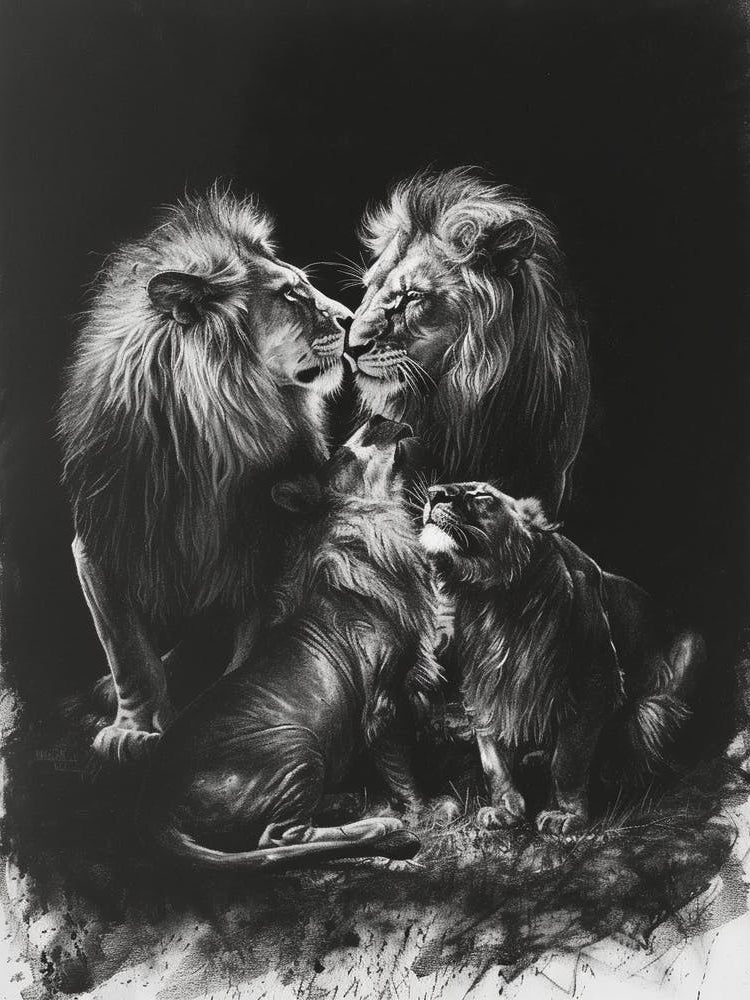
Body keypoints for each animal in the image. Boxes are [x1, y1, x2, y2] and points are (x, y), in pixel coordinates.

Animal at [59, 188, 351, 762]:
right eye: (292, 296)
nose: (352, 318)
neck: (209, 445)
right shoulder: (99, 538)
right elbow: (129, 652)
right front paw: (134, 728)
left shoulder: (267, 545)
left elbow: (249, 652)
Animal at [137, 418, 455, 870]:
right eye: (343, 455)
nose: (377, 418)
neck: (382, 528)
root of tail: (152, 811)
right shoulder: (383, 697)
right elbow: (399, 766)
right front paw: (423, 811)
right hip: (296, 746)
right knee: (279, 840)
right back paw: (382, 826)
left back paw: (343, 802)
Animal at [420, 481, 706, 836]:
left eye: (483, 496)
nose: (433, 493)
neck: (495, 599)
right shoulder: (484, 684)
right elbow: (493, 760)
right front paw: (505, 809)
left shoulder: (596, 680)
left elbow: (568, 759)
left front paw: (565, 814)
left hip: (691, 646)